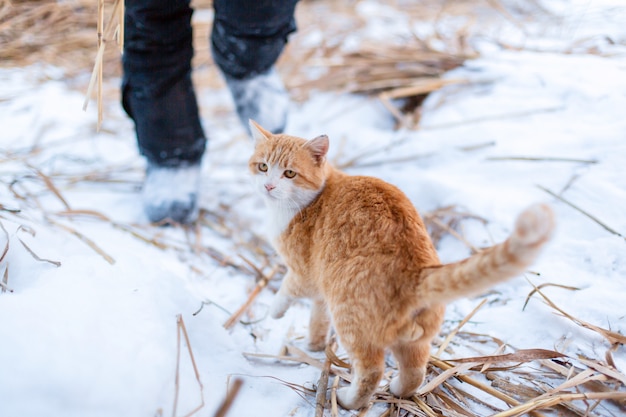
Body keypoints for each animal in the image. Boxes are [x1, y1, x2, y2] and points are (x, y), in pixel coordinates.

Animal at [246, 120, 552, 410]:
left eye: (289, 173)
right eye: (263, 167)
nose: (268, 186)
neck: (313, 198)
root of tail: (416, 272)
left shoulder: (303, 272)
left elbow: (287, 290)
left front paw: (275, 311)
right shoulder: (322, 288)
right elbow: (317, 319)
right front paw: (313, 345)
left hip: (351, 322)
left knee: (371, 370)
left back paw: (348, 400)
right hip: (414, 340)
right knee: (416, 370)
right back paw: (398, 390)